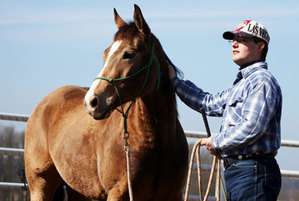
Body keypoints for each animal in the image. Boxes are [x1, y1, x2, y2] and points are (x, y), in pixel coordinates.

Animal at [24, 4, 189, 201]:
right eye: (105, 53)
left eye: (128, 54)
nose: (91, 101)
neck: (156, 142)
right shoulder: (117, 194)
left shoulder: (173, 195)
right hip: (41, 185)